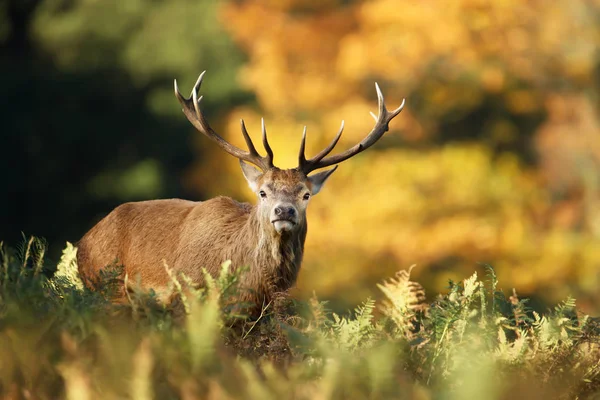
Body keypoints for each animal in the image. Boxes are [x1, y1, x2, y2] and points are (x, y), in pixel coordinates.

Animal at [75, 72, 404, 312]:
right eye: (263, 192)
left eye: (305, 195)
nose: (284, 211)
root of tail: (84, 240)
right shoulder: (188, 294)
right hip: (107, 287)